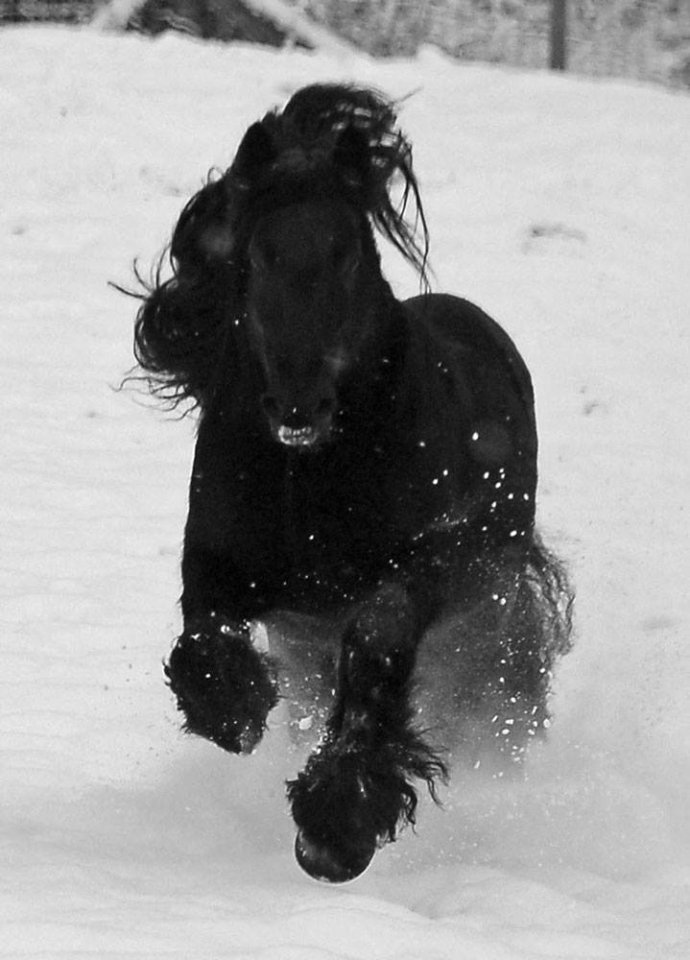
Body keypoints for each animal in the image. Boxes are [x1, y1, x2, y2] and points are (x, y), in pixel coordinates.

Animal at [131, 84, 573, 883]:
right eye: (257, 253)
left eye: (348, 254)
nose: (297, 404)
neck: (310, 479)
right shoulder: (218, 563)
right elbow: (205, 639)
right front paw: (236, 712)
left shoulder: (424, 572)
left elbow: (376, 644)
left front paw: (336, 828)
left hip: (485, 617)